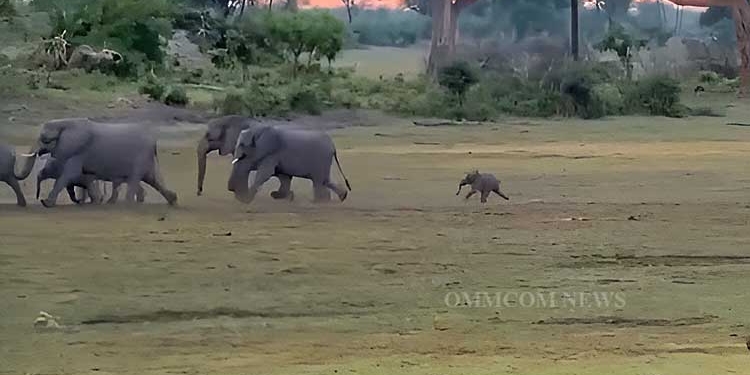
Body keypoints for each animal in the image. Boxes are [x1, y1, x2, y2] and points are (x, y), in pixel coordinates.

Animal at [23, 118, 178, 209]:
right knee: (152, 179)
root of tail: (154, 142)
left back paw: (126, 204)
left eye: (45, 140)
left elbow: (69, 175)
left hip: (140, 157)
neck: (65, 123)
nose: (37, 196)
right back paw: (173, 200)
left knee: (136, 179)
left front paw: (46, 203)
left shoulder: (78, 152)